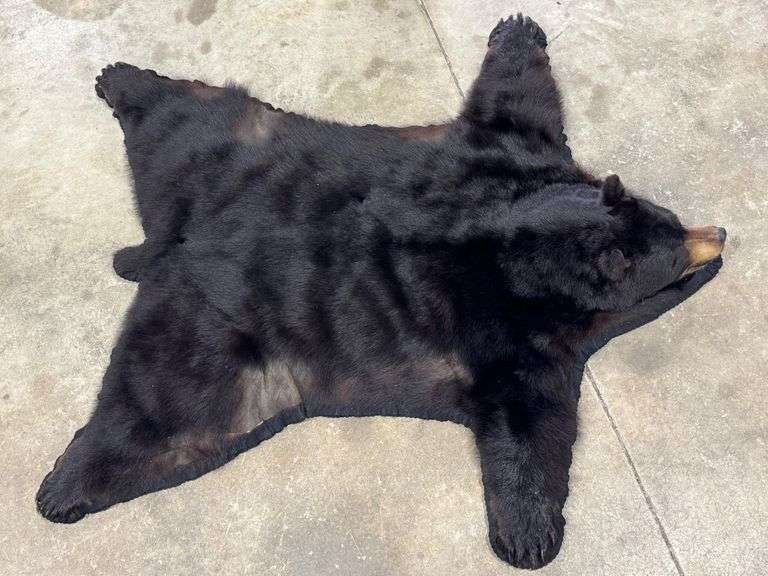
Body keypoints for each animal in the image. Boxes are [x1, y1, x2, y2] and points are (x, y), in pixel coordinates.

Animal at [36, 14, 725, 570]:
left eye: (669, 216)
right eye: (674, 243)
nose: (718, 233)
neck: (522, 244)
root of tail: (171, 241)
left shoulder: (498, 158)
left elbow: (509, 107)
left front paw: (517, 27)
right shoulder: (502, 332)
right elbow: (525, 416)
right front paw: (530, 536)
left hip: (223, 155)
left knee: (184, 117)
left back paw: (119, 81)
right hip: (207, 347)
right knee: (161, 421)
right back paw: (60, 489)